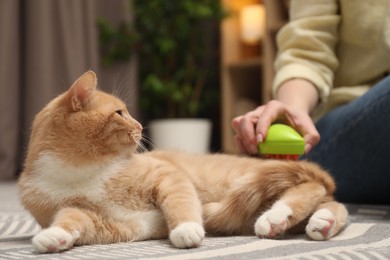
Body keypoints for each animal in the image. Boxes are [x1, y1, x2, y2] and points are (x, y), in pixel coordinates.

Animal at [17, 70, 348, 253]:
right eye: (120, 113)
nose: (140, 125)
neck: (83, 172)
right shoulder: (98, 219)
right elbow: (71, 220)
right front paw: (53, 238)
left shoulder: (167, 175)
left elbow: (180, 202)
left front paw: (186, 229)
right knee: (333, 204)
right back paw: (321, 223)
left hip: (256, 180)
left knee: (313, 189)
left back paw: (276, 217)